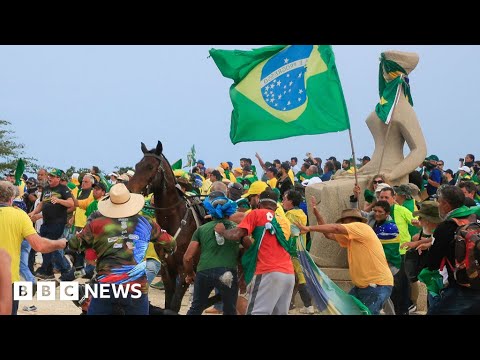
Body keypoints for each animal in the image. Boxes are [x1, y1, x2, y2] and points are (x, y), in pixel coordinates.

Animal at [126, 141, 202, 312]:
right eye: (137, 165)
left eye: (150, 166)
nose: (130, 192)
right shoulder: (167, 269)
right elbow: (168, 303)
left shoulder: (184, 272)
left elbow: (173, 306)